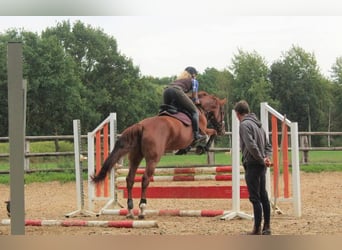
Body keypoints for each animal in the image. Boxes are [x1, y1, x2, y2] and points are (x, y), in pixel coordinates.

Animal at [92, 92, 226, 219]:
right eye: (222, 112)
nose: (223, 130)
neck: (200, 109)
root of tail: (141, 126)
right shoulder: (203, 130)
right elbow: (211, 133)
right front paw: (202, 147)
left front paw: (187, 149)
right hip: (153, 159)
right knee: (145, 179)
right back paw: (142, 208)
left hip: (135, 157)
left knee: (130, 179)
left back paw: (130, 210)